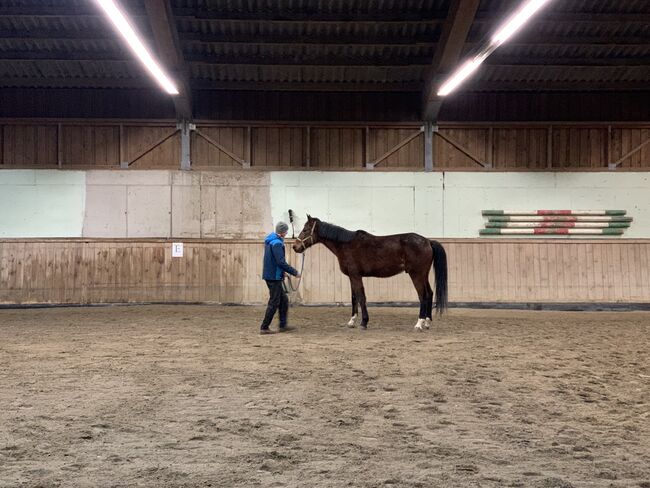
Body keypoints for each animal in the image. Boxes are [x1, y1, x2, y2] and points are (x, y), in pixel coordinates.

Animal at [292, 215, 446, 330]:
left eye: (305, 229)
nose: (295, 247)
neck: (346, 245)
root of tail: (428, 241)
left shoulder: (356, 276)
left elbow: (361, 297)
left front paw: (364, 322)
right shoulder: (352, 277)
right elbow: (354, 297)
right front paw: (352, 321)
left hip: (416, 275)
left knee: (423, 296)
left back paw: (419, 323)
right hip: (423, 275)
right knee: (430, 293)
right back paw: (427, 322)